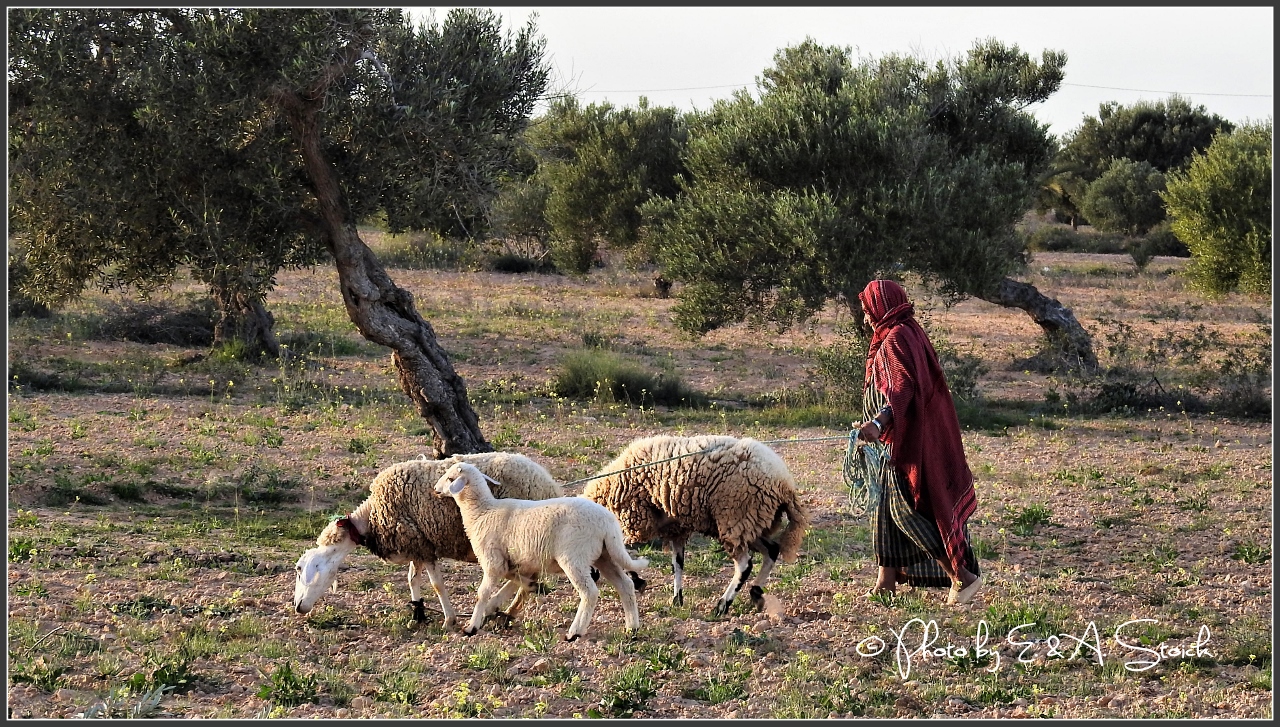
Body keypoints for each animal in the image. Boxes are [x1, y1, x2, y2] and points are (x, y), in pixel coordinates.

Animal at [298, 450, 565, 627]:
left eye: (302, 569)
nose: (298, 607)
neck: (372, 517)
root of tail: (549, 484)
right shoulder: (417, 544)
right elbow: (412, 579)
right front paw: (418, 613)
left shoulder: (424, 547)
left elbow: (436, 584)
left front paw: (449, 619)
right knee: (526, 576)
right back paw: (506, 610)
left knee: (523, 576)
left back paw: (496, 607)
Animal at [435, 463, 650, 639]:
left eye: (450, 478)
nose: (436, 490)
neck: (482, 511)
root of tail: (608, 523)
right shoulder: (513, 560)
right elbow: (513, 578)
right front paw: (531, 587)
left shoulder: (492, 560)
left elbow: (483, 593)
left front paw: (472, 626)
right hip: (605, 555)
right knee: (625, 585)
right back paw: (632, 629)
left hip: (574, 557)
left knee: (589, 592)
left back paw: (575, 632)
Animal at [583, 435, 803, 616]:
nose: (592, 576)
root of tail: (784, 484)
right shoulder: (676, 527)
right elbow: (677, 563)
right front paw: (677, 599)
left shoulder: (636, 518)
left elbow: (620, 553)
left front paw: (638, 581)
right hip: (750, 522)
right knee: (771, 550)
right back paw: (756, 593)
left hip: (735, 517)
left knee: (744, 565)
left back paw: (722, 605)